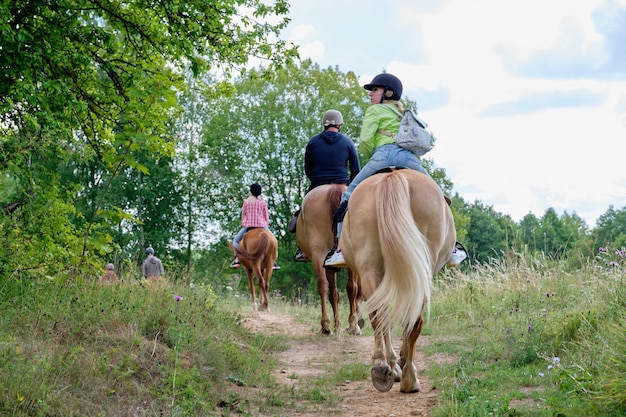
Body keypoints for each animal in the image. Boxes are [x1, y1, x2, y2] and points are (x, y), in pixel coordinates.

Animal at [296, 184, 364, 334]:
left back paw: (326, 325)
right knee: (350, 287)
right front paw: (340, 325)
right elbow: (336, 293)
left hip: (319, 254)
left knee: (323, 285)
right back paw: (349, 324)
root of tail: (335, 187)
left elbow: (333, 293)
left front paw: (337, 325)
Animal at [342, 168, 454, 390]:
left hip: (370, 269)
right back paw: (409, 378)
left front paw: (393, 366)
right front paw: (399, 363)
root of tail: (393, 176)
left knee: (380, 316)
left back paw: (381, 368)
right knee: (411, 320)